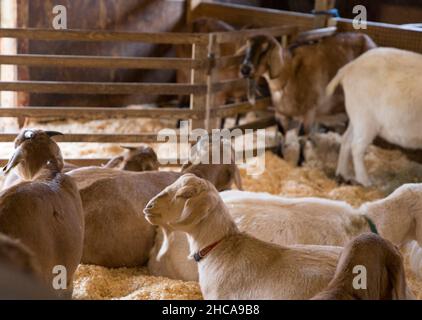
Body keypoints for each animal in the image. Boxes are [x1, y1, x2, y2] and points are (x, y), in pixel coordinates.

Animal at [241, 33, 376, 135]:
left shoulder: (309, 113)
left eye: (264, 50)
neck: (290, 74)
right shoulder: (281, 114)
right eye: (247, 47)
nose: (245, 69)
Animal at [328, 48, 422, 188]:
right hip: (365, 118)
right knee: (356, 147)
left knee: (346, 141)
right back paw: (365, 181)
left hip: (356, 116)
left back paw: (343, 173)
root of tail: (349, 67)